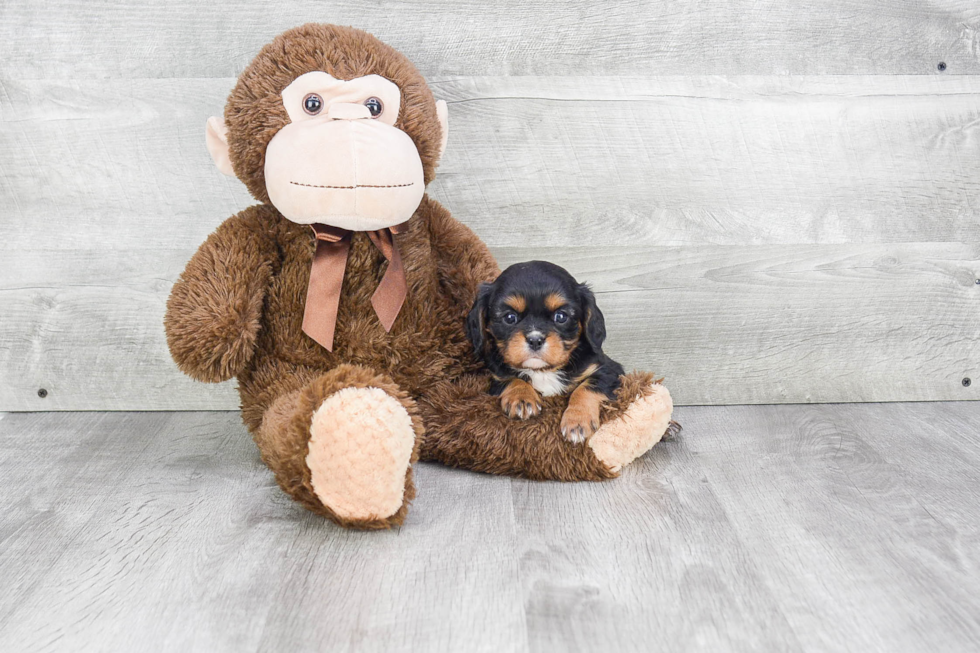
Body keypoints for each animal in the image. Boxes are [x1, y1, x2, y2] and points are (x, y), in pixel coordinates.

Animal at [468, 260, 624, 444]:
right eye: (509, 317)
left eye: (561, 316)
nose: (535, 339)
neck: (542, 371)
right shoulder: (495, 376)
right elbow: (511, 379)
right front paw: (521, 398)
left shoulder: (609, 370)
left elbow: (587, 387)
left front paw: (577, 421)